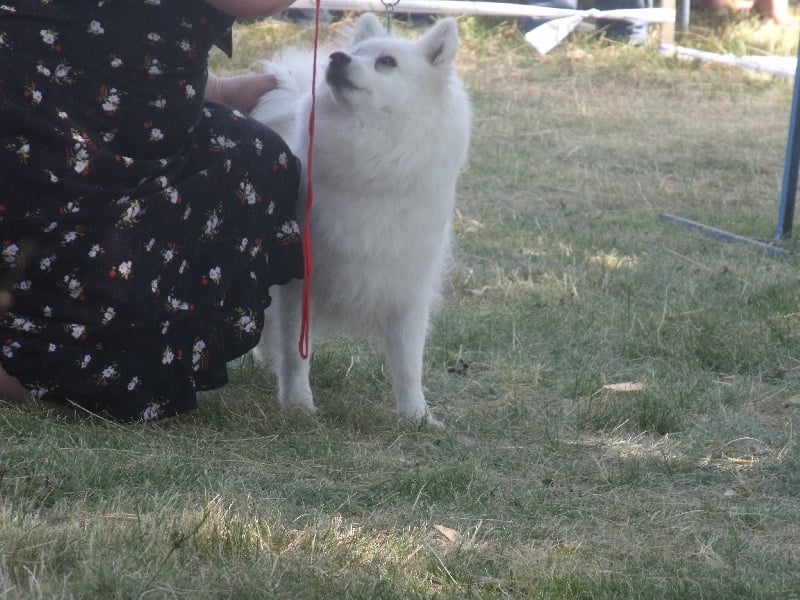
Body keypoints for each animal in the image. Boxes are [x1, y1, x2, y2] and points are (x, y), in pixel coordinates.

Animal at [250, 13, 471, 426]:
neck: (373, 165)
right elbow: (295, 353)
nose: (336, 57)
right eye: (357, 53)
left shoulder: (406, 289)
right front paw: (298, 404)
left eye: (386, 62)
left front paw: (417, 416)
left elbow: (408, 364)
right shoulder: (298, 284)